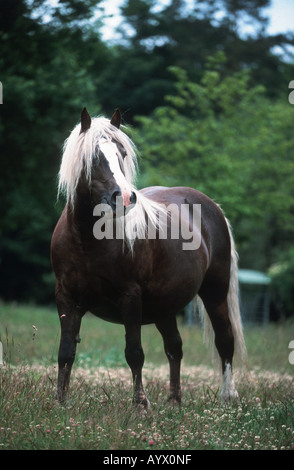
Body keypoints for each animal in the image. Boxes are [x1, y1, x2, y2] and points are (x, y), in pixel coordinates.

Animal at [51, 107, 247, 408]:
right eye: (94, 156)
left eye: (122, 153)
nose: (125, 197)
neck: (87, 239)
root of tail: (211, 206)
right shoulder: (66, 298)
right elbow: (66, 351)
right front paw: (60, 402)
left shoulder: (130, 297)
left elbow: (134, 353)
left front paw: (140, 404)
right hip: (164, 307)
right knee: (174, 348)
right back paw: (174, 400)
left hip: (215, 292)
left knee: (224, 340)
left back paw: (228, 396)